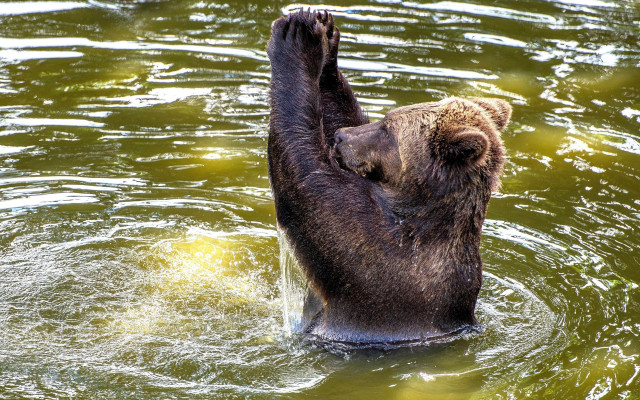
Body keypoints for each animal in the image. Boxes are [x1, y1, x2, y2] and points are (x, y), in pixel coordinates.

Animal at [266, 10, 511, 348]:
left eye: (387, 129)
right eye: (383, 118)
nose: (341, 137)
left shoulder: (373, 256)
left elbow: (305, 178)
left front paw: (297, 38)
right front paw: (326, 38)